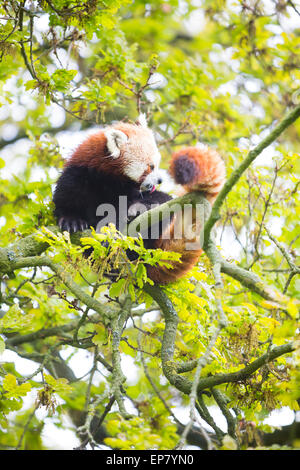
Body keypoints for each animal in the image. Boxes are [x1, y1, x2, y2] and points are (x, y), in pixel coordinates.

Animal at [53, 117, 225, 284]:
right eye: (151, 166)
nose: (160, 180)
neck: (106, 179)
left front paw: (112, 228)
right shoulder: (78, 175)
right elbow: (66, 198)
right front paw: (71, 220)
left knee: (162, 203)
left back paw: (137, 213)